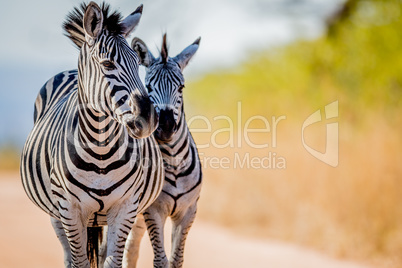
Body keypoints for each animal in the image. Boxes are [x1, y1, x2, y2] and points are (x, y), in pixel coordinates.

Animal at [20, 2, 165, 268]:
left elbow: (112, 262)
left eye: (137, 64)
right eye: (107, 64)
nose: (148, 119)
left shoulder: (126, 207)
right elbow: (80, 262)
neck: (101, 153)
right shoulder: (69, 209)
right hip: (55, 214)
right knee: (68, 257)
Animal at [122, 34, 203, 268]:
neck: (174, 162)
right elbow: (160, 260)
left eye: (181, 87)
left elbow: (176, 260)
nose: (166, 126)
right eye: (148, 87)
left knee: (129, 250)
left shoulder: (188, 212)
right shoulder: (154, 211)